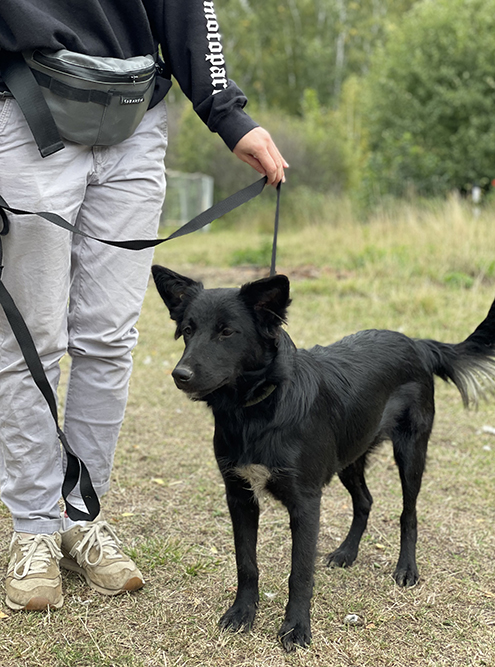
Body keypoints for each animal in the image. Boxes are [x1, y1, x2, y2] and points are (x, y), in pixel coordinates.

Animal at [152, 266, 495, 652]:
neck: (255, 410)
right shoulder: (239, 495)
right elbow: (246, 563)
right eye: (188, 330)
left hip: (410, 452)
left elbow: (300, 572)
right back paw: (346, 552)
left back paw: (406, 568)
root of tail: (417, 343)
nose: (180, 376)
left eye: (227, 332)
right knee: (365, 500)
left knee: (408, 513)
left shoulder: (305, 502)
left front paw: (296, 628)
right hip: (350, 456)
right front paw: (242, 613)